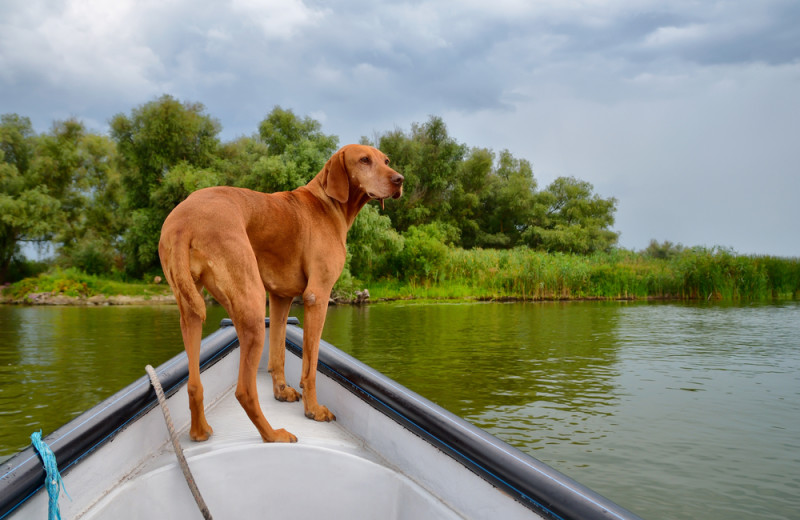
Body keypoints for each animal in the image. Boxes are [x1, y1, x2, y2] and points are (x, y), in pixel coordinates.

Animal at [159, 143, 404, 442]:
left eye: (386, 160)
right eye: (365, 160)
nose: (400, 180)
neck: (328, 204)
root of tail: (184, 221)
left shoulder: (280, 297)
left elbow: (278, 354)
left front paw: (281, 392)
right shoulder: (318, 297)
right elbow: (311, 366)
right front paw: (314, 410)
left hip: (191, 311)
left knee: (194, 384)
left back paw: (200, 431)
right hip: (252, 305)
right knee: (244, 390)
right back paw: (274, 435)